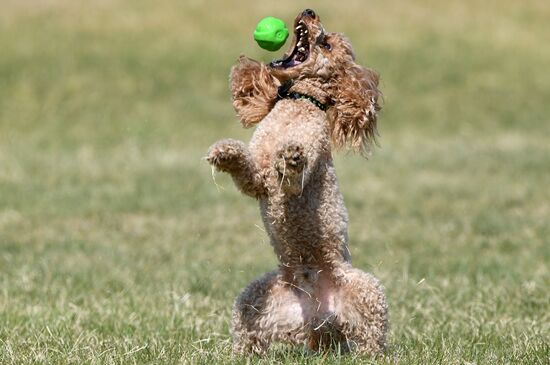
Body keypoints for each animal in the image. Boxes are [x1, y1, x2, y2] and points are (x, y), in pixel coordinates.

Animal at [207, 8, 388, 356]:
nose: (309, 11)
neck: (299, 103)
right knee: (248, 332)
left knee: (373, 334)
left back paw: (373, 355)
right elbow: (247, 168)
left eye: (327, 44)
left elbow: (292, 177)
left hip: (366, 291)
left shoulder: (299, 172)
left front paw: (291, 158)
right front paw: (225, 153)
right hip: (253, 300)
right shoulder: (258, 176)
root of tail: (318, 316)